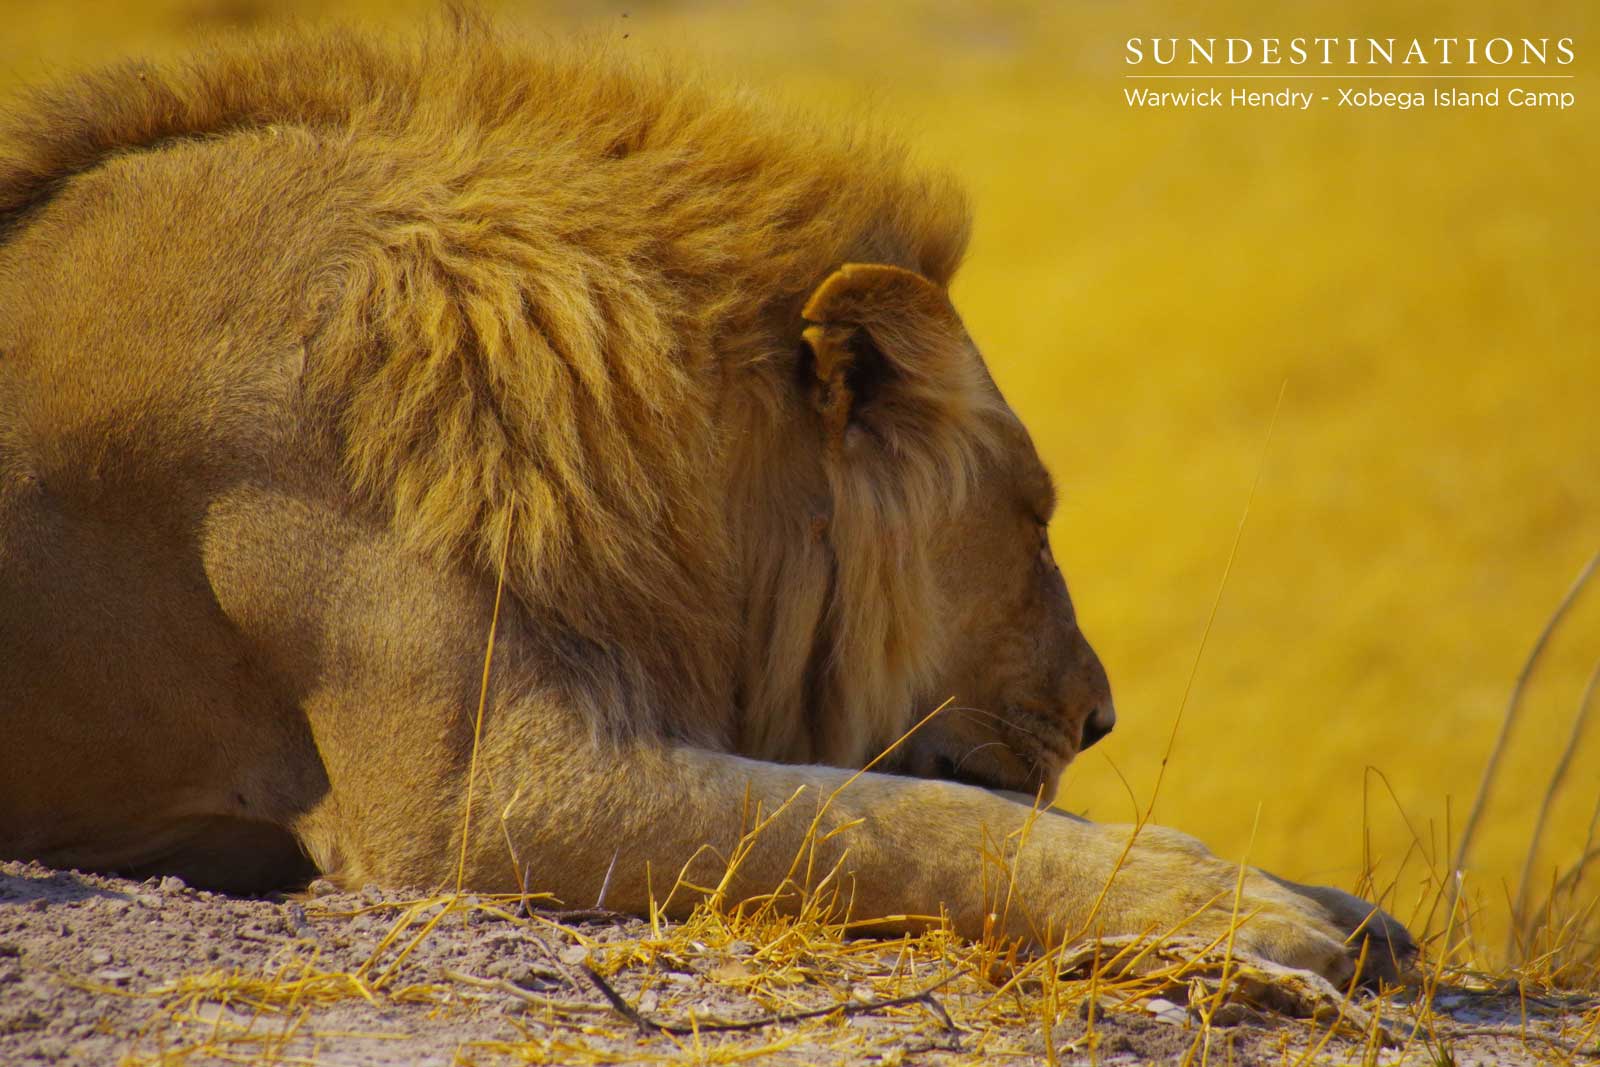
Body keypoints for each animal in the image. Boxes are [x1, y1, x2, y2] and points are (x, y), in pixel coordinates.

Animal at [0, 18, 1411, 985]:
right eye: (1035, 519)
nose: (1100, 715)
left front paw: (1341, 902)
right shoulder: (477, 803)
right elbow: (877, 820)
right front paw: (1250, 912)